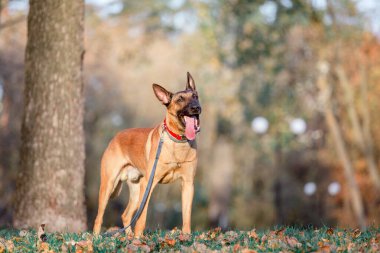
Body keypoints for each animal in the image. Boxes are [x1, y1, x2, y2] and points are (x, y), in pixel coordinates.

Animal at [94, 72, 202, 236]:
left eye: (195, 96)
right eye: (180, 99)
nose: (196, 107)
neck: (178, 141)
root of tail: (116, 137)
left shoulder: (188, 184)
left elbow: (186, 215)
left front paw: (187, 236)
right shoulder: (149, 185)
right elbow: (142, 217)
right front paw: (139, 238)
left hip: (136, 190)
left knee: (126, 215)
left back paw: (129, 237)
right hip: (109, 185)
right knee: (99, 217)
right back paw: (96, 237)